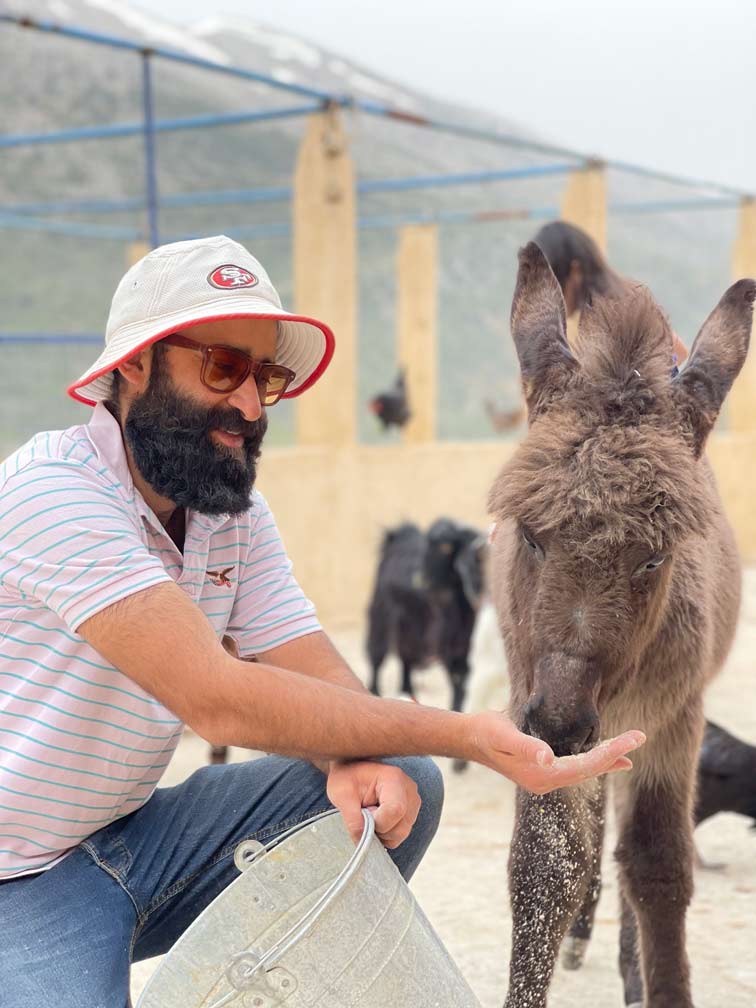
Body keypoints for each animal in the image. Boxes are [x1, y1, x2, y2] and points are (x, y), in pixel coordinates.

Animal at [366, 516, 485, 713]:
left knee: (405, 661)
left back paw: (407, 692)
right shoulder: (443, 642)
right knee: (377, 654)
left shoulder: (463, 643)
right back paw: (375, 692)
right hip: (381, 615)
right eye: (428, 545)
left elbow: (461, 677)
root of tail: (397, 537)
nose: (422, 580)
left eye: (446, 547)